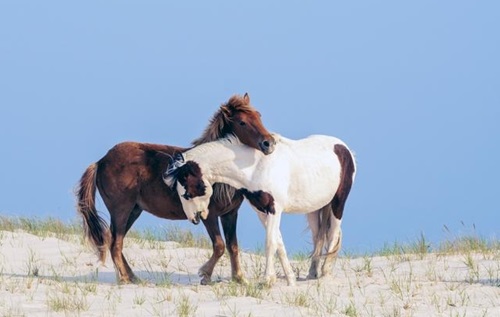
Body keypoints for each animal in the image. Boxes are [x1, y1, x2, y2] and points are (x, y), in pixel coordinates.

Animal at [75, 92, 276, 282]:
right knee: (115, 243)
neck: (215, 169)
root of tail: (101, 161)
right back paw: (124, 278)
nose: (269, 143)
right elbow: (219, 246)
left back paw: (132, 277)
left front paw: (239, 278)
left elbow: (232, 246)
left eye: (259, 116)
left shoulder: (230, 214)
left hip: (134, 210)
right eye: (242, 122)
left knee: (116, 239)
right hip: (121, 210)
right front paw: (205, 274)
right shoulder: (208, 215)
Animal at [164, 132, 356, 286]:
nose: (195, 218)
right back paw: (312, 274)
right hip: (314, 209)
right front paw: (290, 280)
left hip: (338, 203)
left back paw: (325, 274)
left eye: (187, 193)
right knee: (318, 237)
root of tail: (344, 148)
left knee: (332, 235)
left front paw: (267, 280)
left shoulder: (274, 210)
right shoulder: (261, 211)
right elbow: (279, 243)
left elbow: (270, 243)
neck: (255, 167)